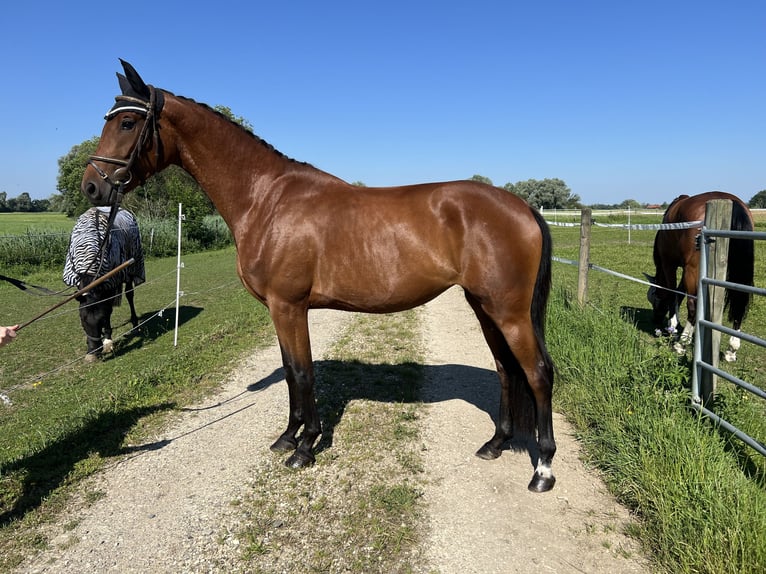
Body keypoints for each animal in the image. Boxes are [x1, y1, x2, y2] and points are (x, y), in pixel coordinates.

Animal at [79, 59, 560, 496]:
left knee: (537, 373)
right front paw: (287, 437)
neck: (267, 198)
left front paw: (306, 447)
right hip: (485, 306)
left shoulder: (289, 306)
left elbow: (304, 372)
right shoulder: (280, 310)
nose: (91, 187)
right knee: (505, 369)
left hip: (508, 311)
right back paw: (495, 444)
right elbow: (293, 373)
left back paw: (542, 470)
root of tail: (521, 206)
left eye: (127, 122)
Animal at [648, 194, 756, 364]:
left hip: (692, 271)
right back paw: (731, 349)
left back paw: (682, 343)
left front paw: (673, 325)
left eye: (653, 297)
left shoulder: (670, 265)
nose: (656, 319)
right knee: (739, 306)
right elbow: (679, 293)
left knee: (693, 306)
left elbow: (673, 292)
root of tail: (732, 201)